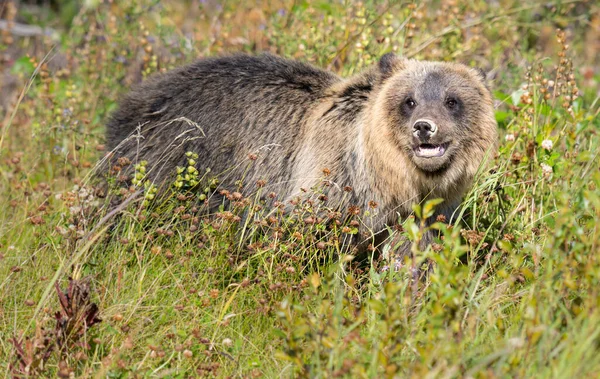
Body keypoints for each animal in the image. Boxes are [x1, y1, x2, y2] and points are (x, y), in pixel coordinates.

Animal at [105, 52, 500, 240]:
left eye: (451, 100)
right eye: (410, 101)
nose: (424, 128)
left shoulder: (426, 214)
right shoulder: (331, 183)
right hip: (171, 164)